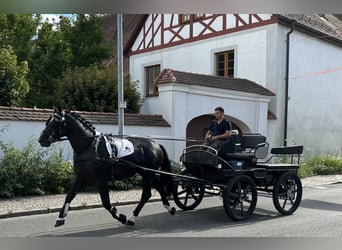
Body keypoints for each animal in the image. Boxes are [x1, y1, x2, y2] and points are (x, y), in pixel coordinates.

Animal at [38, 108, 175, 226]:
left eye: (55, 123)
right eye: (48, 122)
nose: (41, 140)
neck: (89, 146)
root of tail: (156, 144)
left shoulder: (101, 180)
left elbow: (106, 203)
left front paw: (121, 217)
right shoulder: (81, 178)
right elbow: (69, 196)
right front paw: (60, 217)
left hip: (148, 174)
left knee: (146, 194)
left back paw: (132, 218)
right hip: (145, 172)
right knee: (159, 187)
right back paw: (170, 208)